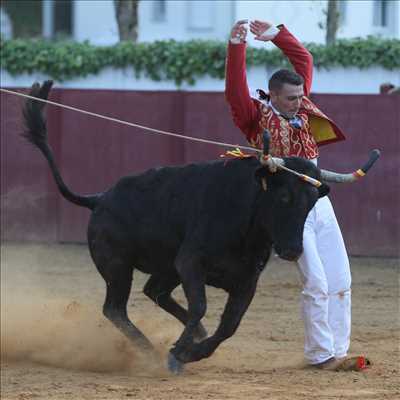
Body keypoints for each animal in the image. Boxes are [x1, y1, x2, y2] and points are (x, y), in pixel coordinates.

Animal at [21, 82, 378, 376]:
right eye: (283, 197)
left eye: (310, 203)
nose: (292, 250)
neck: (246, 222)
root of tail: (98, 199)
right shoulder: (191, 263)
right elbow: (202, 306)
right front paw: (177, 354)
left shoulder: (245, 280)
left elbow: (229, 325)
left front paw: (190, 351)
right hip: (118, 265)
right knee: (115, 308)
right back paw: (149, 350)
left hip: (165, 266)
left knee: (154, 291)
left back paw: (189, 337)